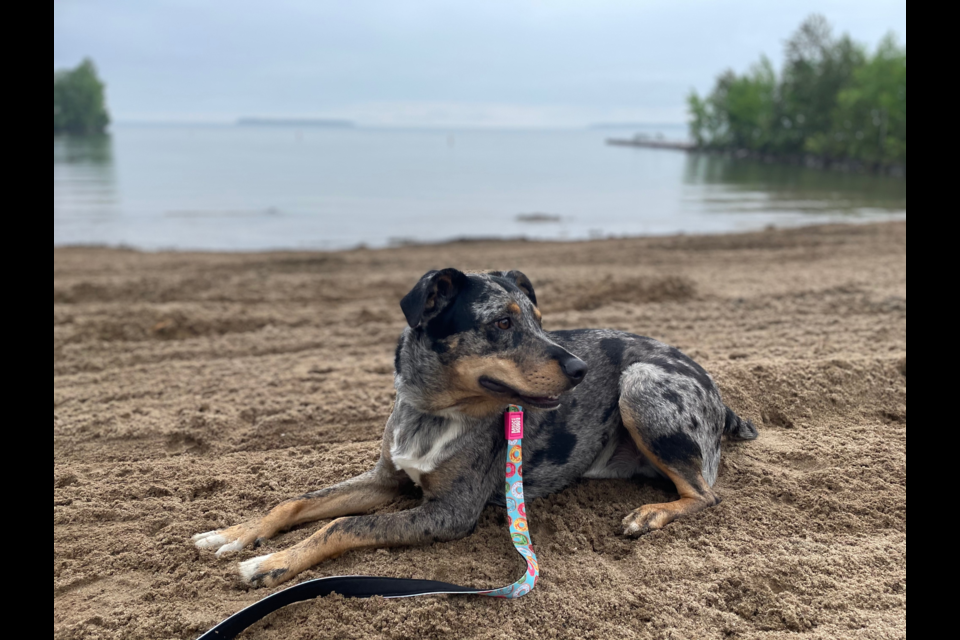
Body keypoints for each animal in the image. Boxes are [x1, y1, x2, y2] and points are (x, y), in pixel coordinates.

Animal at [193, 268, 756, 588]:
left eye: (539, 320)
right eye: (502, 323)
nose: (580, 370)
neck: (434, 412)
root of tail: (718, 394)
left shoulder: (449, 512)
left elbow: (342, 526)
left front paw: (270, 563)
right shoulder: (386, 480)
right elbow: (295, 504)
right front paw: (233, 535)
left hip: (641, 384)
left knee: (706, 494)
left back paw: (650, 514)